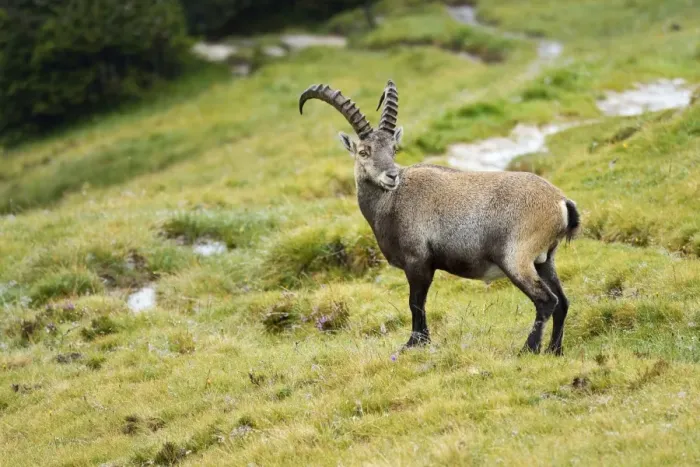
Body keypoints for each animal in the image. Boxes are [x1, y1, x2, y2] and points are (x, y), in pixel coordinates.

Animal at [298, 80, 580, 355]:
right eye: (364, 152)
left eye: (393, 149)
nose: (391, 176)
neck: (392, 202)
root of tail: (560, 202)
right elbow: (418, 304)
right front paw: (421, 342)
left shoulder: (418, 262)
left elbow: (415, 303)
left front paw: (414, 343)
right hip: (545, 260)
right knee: (563, 302)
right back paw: (554, 350)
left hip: (516, 259)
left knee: (546, 301)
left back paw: (528, 349)